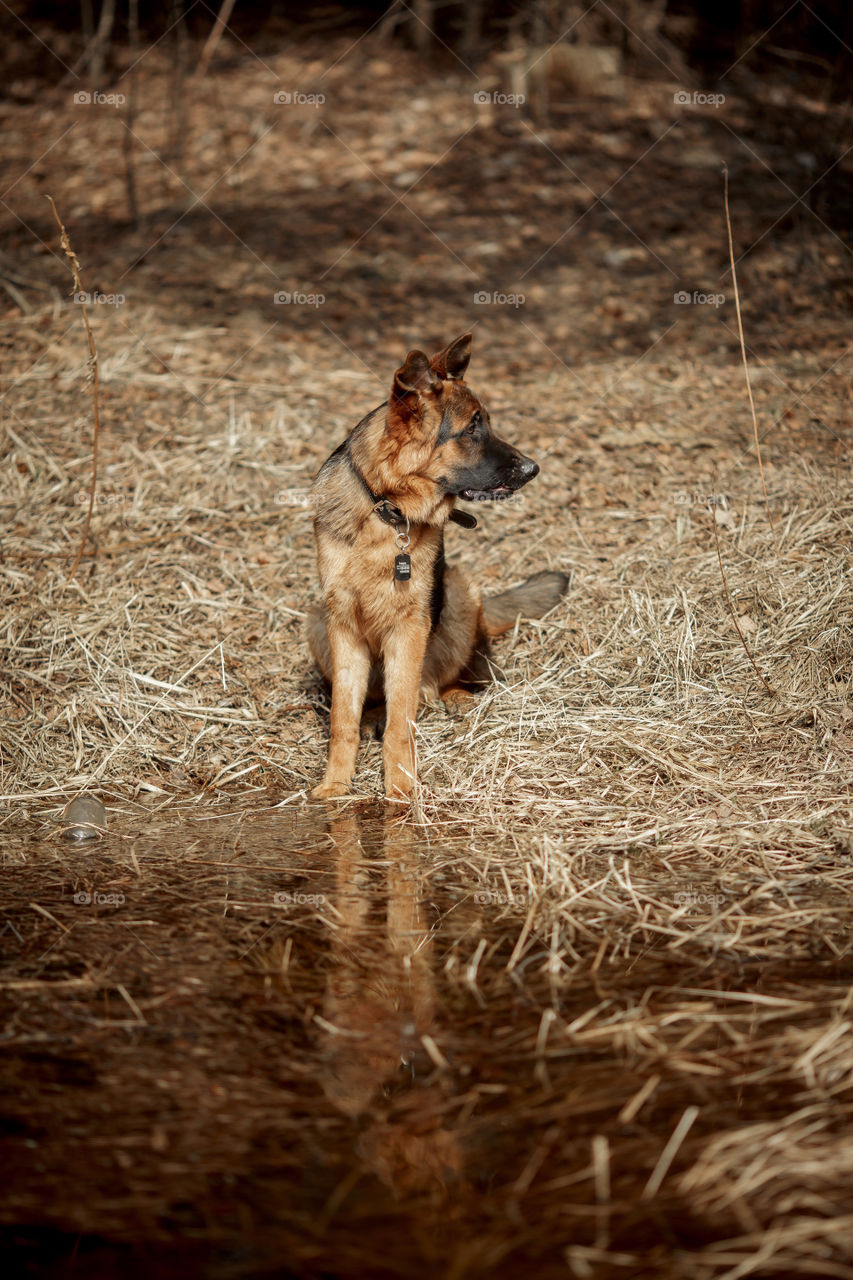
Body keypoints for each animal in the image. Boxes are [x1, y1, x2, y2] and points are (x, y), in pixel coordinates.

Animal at [306, 335, 563, 803]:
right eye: (472, 429)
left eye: (487, 423)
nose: (533, 468)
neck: (386, 508)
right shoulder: (342, 624)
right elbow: (342, 720)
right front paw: (335, 785)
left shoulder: (410, 627)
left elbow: (398, 726)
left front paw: (400, 790)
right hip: (315, 620)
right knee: (377, 702)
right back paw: (375, 713)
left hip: (460, 593)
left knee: (440, 682)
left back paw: (455, 696)